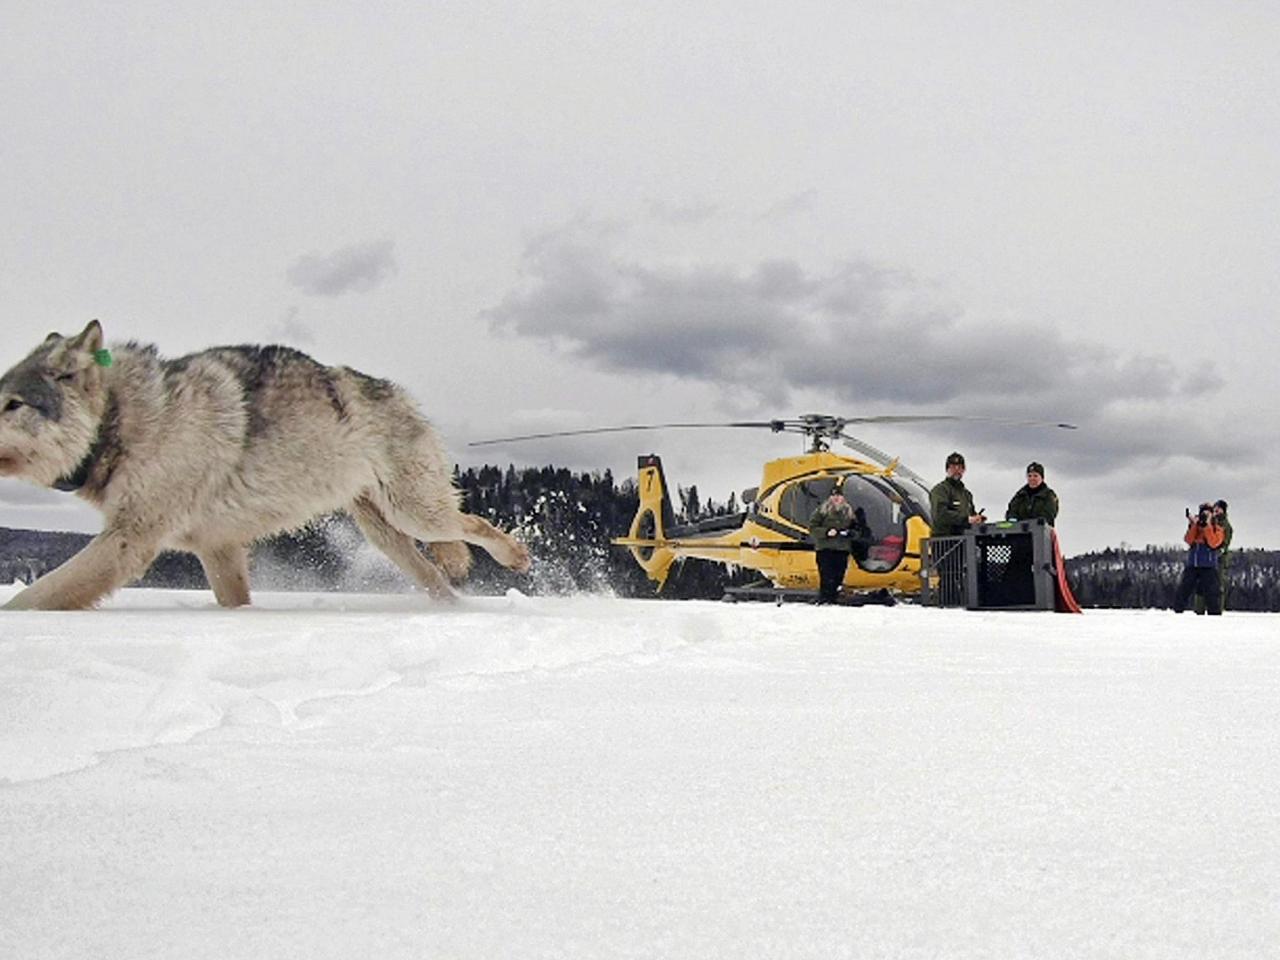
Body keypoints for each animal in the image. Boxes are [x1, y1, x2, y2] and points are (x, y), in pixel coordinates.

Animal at [0, 321, 529, 609]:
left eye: (12, 404)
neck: (124, 419)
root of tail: (397, 391)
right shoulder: (217, 548)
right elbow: (233, 601)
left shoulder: (129, 539)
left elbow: (35, 596)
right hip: (385, 533)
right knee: (437, 576)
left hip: (415, 513)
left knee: (475, 524)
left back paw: (516, 558)